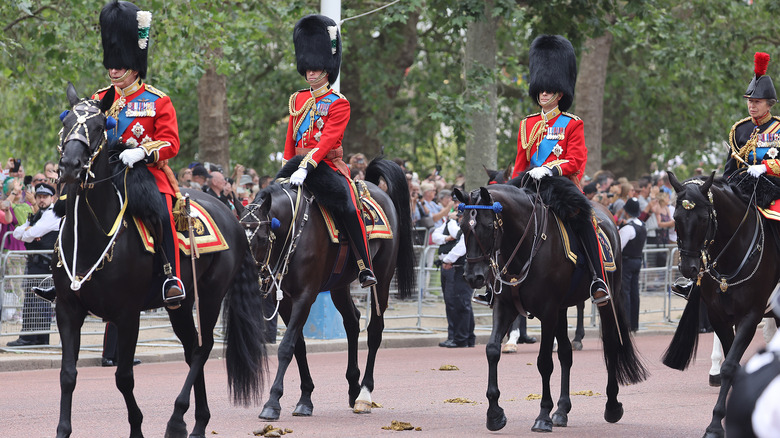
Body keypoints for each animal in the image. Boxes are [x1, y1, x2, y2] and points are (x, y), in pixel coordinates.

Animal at [53, 83, 268, 438]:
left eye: (98, 127)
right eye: (66, 121)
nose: (70, 166)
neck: (90, 235)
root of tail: (233, 214)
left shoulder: (127, 315)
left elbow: (124, 378)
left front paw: (138, 429)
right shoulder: (67, 311)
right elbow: (68, 375)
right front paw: (62, 430)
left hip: (210, 295)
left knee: (202, 348)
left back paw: (178, 420)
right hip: (180, 304)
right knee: (192, 349)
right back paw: (198, 422)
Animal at [242, 158, 414, 420]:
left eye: (261, 237)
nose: (251, 279)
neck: (295, 230)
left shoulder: (305, 296)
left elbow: (286, 346)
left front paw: (272, 402)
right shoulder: (285, 300)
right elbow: (298, 346)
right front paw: (305, 398)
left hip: (383, 279)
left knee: (374, 330)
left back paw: (364, 395)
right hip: (340, 284)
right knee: (352, 321)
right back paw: (353, 389)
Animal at [454, 180, 648, 432]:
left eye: (488, 226)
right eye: (462, 227)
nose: (473, 277)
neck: (525, 245)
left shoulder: (547, 312)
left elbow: (544, 362)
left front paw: (543, 415)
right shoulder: (505, 307)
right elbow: (492, 350)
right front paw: (495, 414)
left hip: (607, 300)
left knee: (611, 343)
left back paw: (612, 406)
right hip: (562, 309)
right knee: (566, 353)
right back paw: (562, 410)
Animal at [664, 172, 780, 438]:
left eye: (704, 218)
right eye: (676, 217)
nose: (689, 269)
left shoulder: (751, 316)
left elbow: (729, 366)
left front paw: (715, 425)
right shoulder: (719, 316)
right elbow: (732, 364)